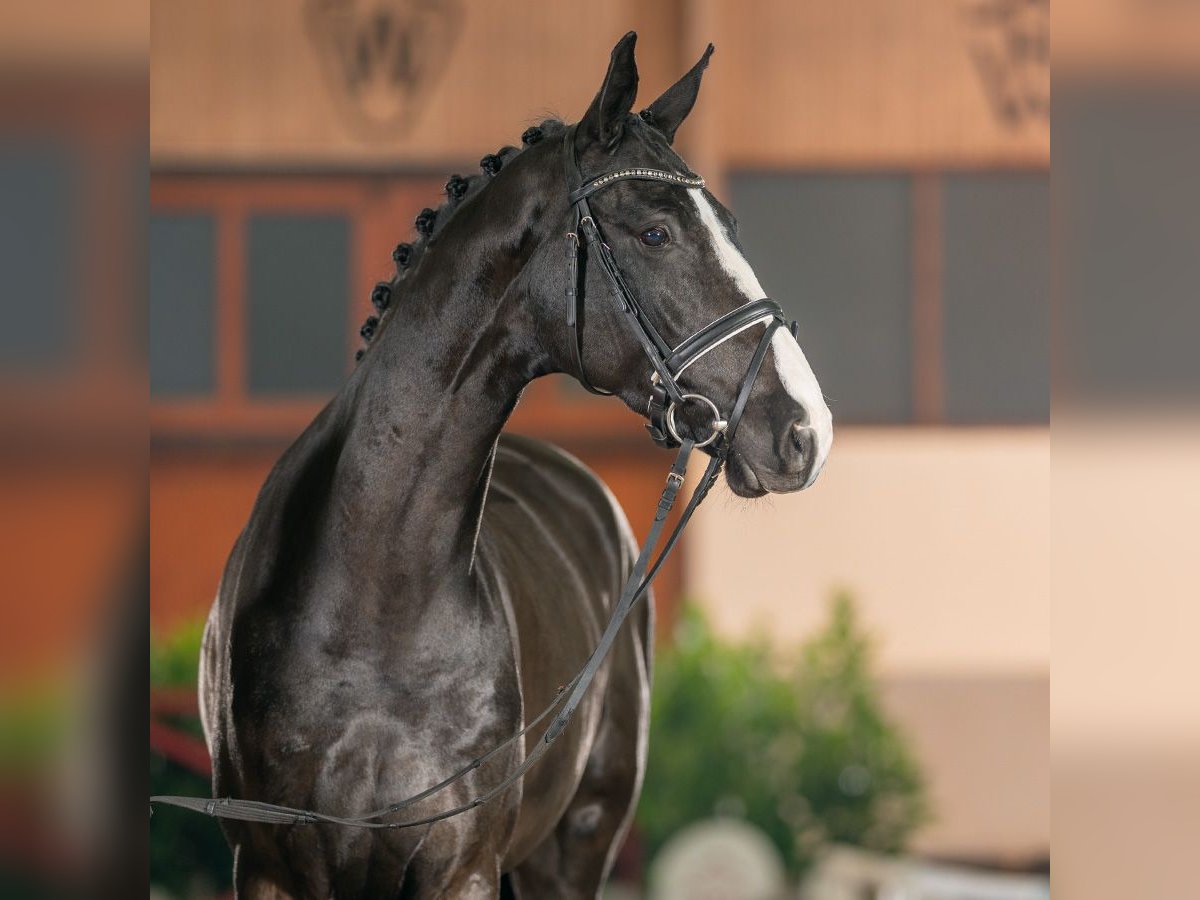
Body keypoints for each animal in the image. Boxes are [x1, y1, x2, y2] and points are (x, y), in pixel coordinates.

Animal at [195, 32, 832, 899]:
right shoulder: (267, 871)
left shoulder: (463, 868)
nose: (806, 429)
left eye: (728, 224)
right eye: (655, 233)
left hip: (578, 842)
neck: (372, 606)